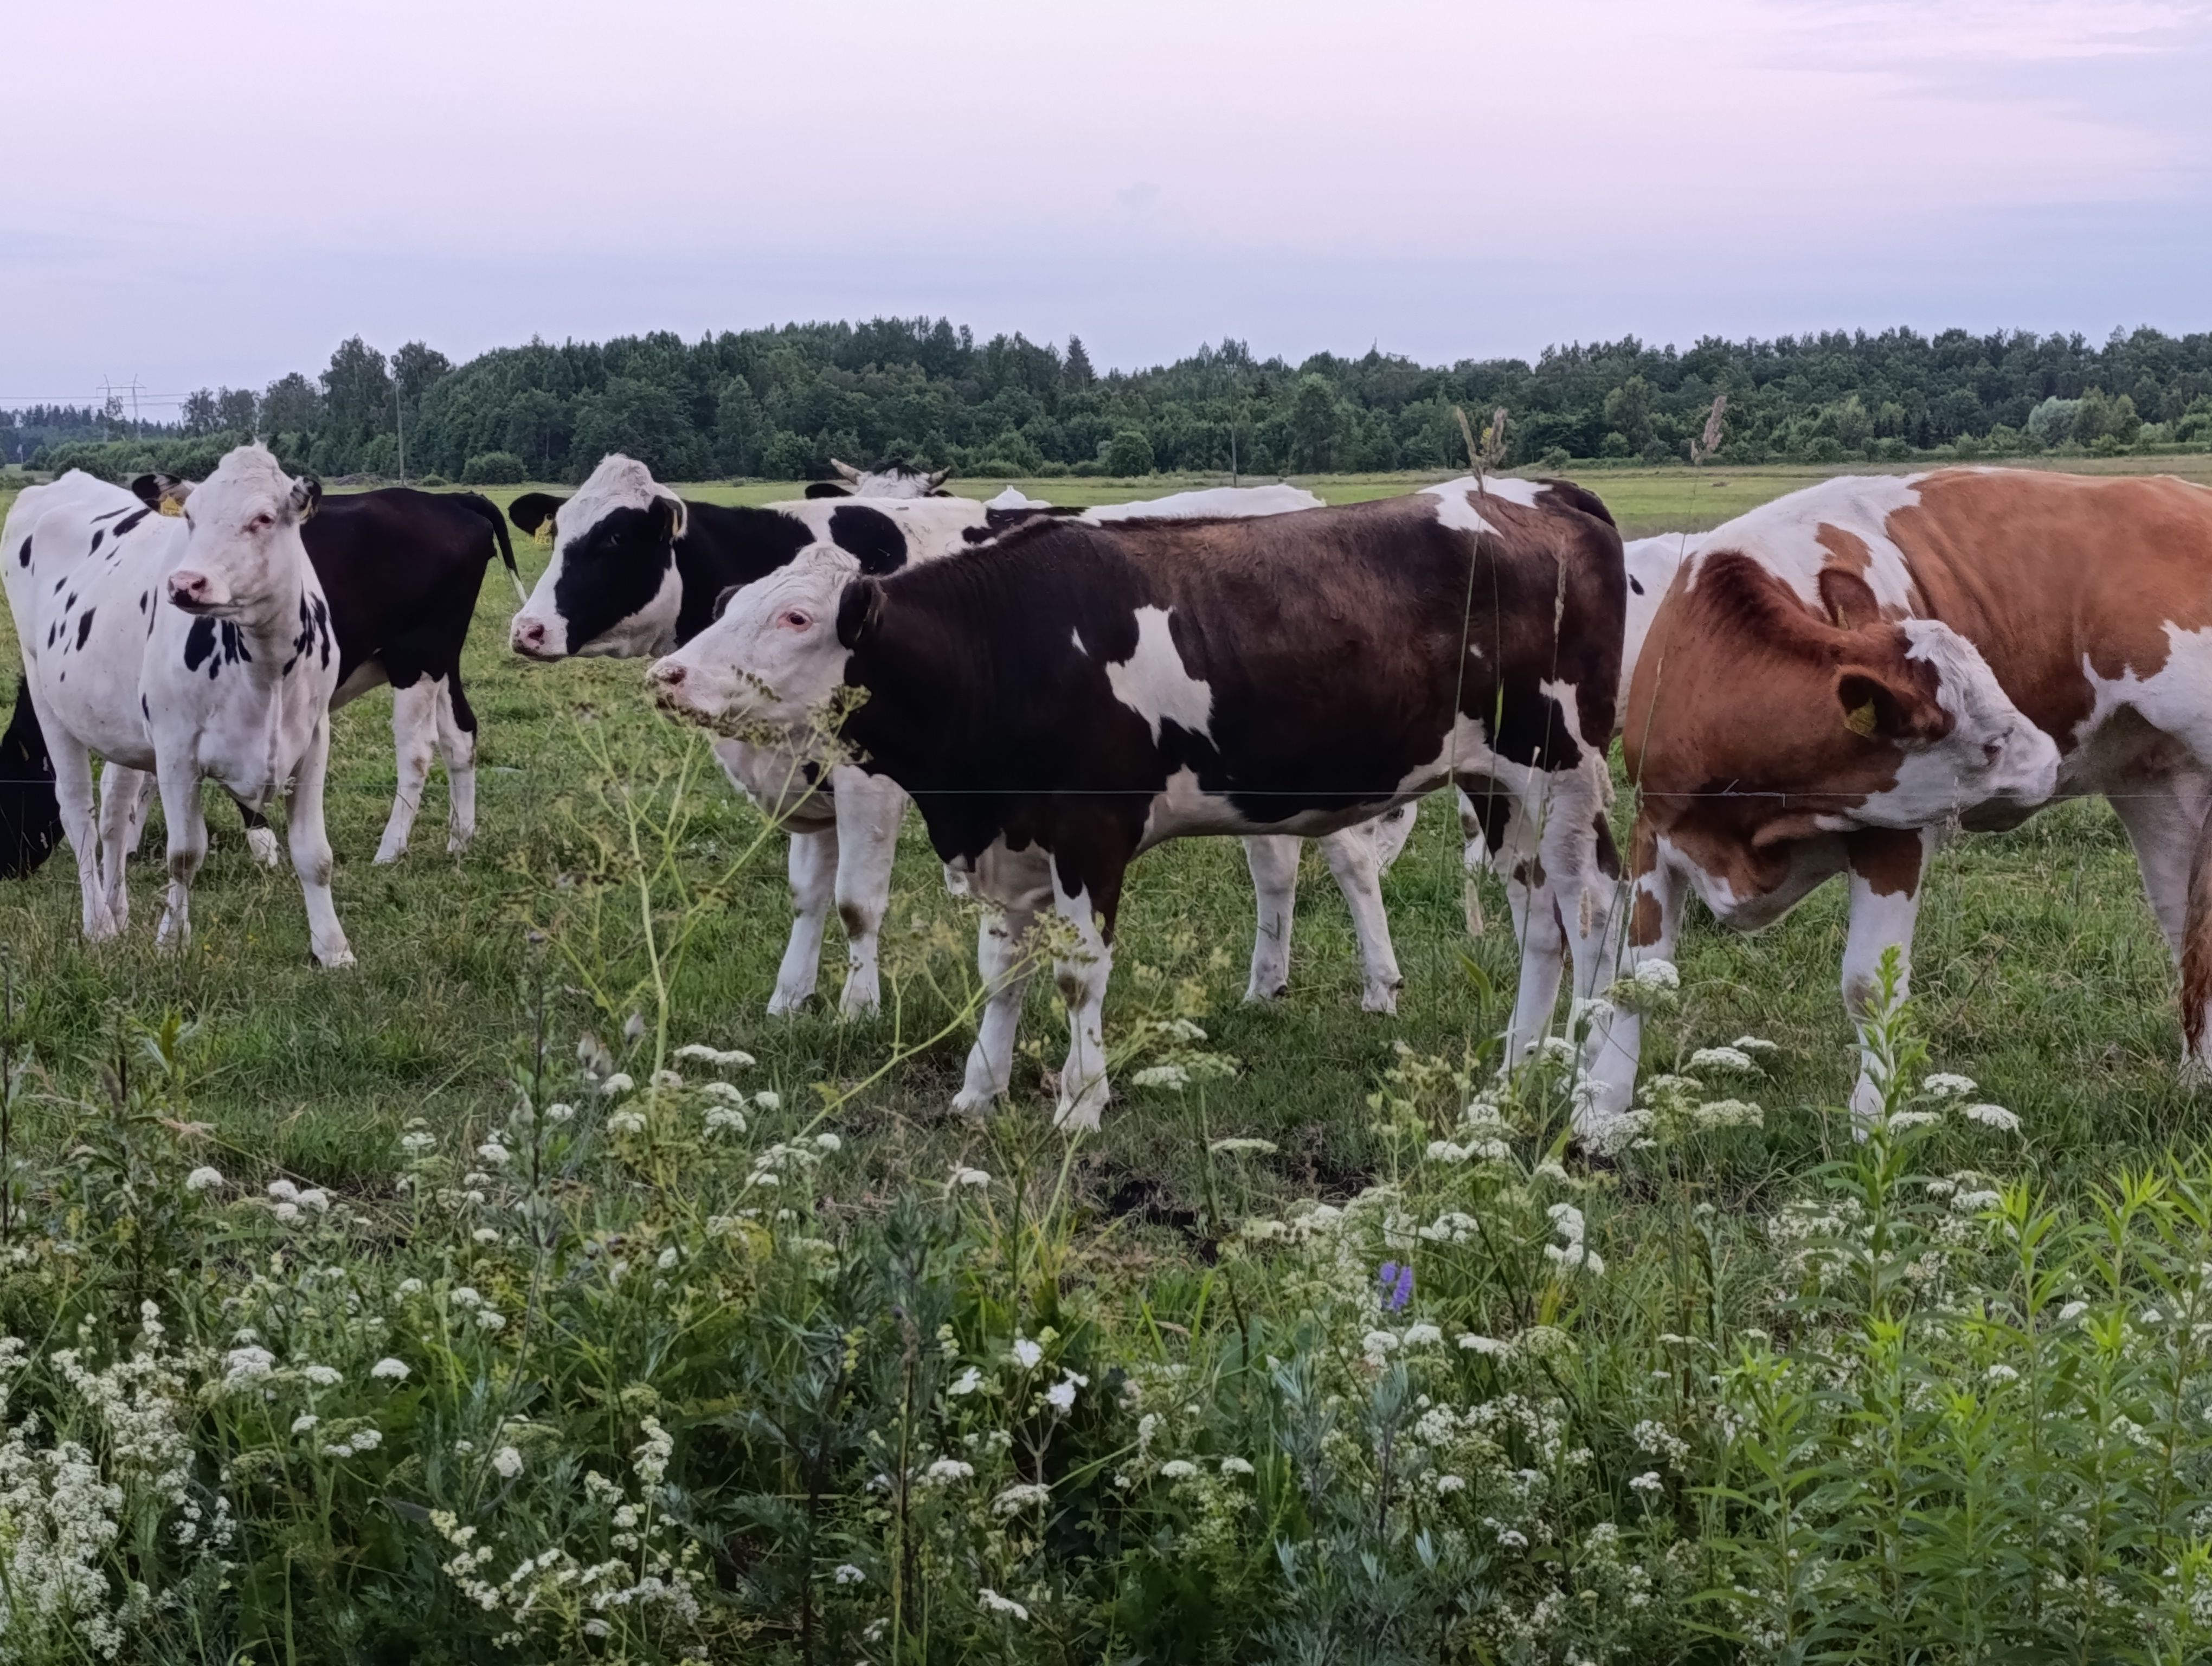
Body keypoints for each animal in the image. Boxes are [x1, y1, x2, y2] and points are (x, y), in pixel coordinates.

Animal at [646, 480, 1637, 1132]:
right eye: (732, 603)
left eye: (796, 620)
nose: (670, 674)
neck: (1006, 647)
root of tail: (1538, 496)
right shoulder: (1009, 842)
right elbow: (1002, 971)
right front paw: (980, 1090)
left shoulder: (1092, 833)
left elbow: (1079, 974)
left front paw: (1081, 1103)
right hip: (1498, 784)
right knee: (1539, 919)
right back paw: (1514, 1072)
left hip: (1563, 769)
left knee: (1596, 911)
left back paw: (1593, 1097)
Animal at [1574, 469, 2212, 1142]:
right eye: (1990, 743)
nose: (2048, 759)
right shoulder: (1655, 828)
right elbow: (1637, 976)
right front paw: (1603, 1112)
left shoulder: (1894, 836)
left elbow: (1867, 987)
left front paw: (1873, 1123)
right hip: (2159, 791)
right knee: (2187, 929)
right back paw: (2197, 1077)